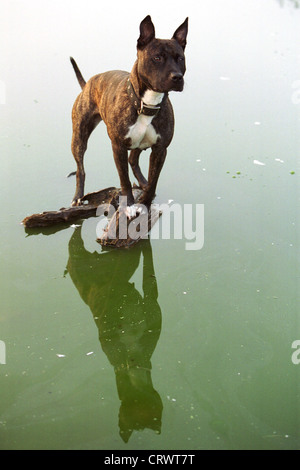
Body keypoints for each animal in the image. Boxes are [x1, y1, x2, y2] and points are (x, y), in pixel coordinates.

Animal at [70, 15, 188, 218]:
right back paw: (78, 196)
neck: (146, 104)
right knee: (80, 169)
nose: (177, 77)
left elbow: (154, 179)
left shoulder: (160, 150)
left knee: (134, 159)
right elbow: (124, 179)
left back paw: (143, 182)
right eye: (157, 58)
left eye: (180, 58)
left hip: (139, 143)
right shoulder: (118, 147)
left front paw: (146, 202)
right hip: (79, 137)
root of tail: (88, 84)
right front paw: (130, 205)